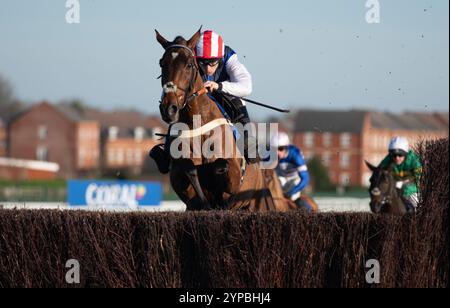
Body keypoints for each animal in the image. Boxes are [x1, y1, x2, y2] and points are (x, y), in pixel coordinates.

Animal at [153, 28, 298, 212]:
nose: (168, 109)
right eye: (162, 63)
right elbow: (188, 168)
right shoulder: (183, 185)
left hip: (259, 204)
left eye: (189, 64)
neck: (197, 125)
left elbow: (220, 166)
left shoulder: (234, 178)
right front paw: (206, 202)